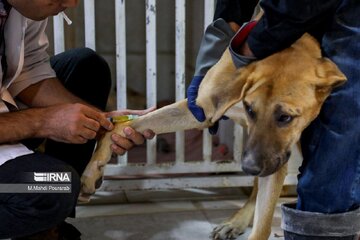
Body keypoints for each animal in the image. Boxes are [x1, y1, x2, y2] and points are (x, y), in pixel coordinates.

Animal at [79, 34, 346, 240]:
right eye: (250, 110)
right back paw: (236, 222)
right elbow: (124, 126)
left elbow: (262, 226)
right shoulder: (203, 107)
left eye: (286, 117)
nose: (249, 167)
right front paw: (93, 169)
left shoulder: (274, 157)